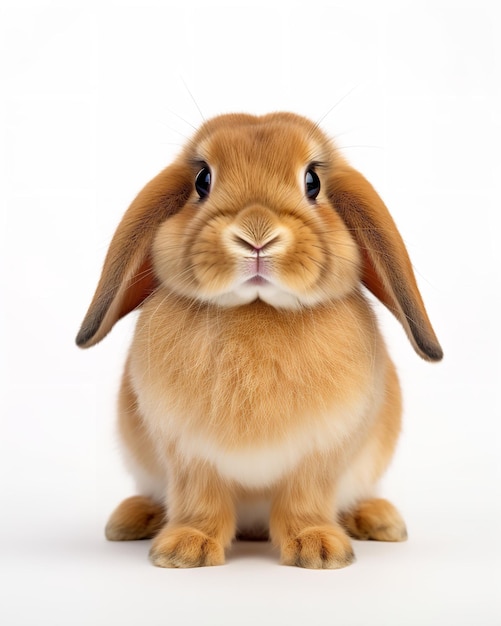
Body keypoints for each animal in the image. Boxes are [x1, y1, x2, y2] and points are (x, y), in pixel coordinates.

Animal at [75, 111, 442, 564]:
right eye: (202, 179)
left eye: (312, 181)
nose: (256, 233)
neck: (256, 309)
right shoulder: (190, 456)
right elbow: (201, 501)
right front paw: (186, 549)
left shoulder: (319, 456)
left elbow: (304, 500)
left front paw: (318, 549)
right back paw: (132, 519)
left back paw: (379, 520)